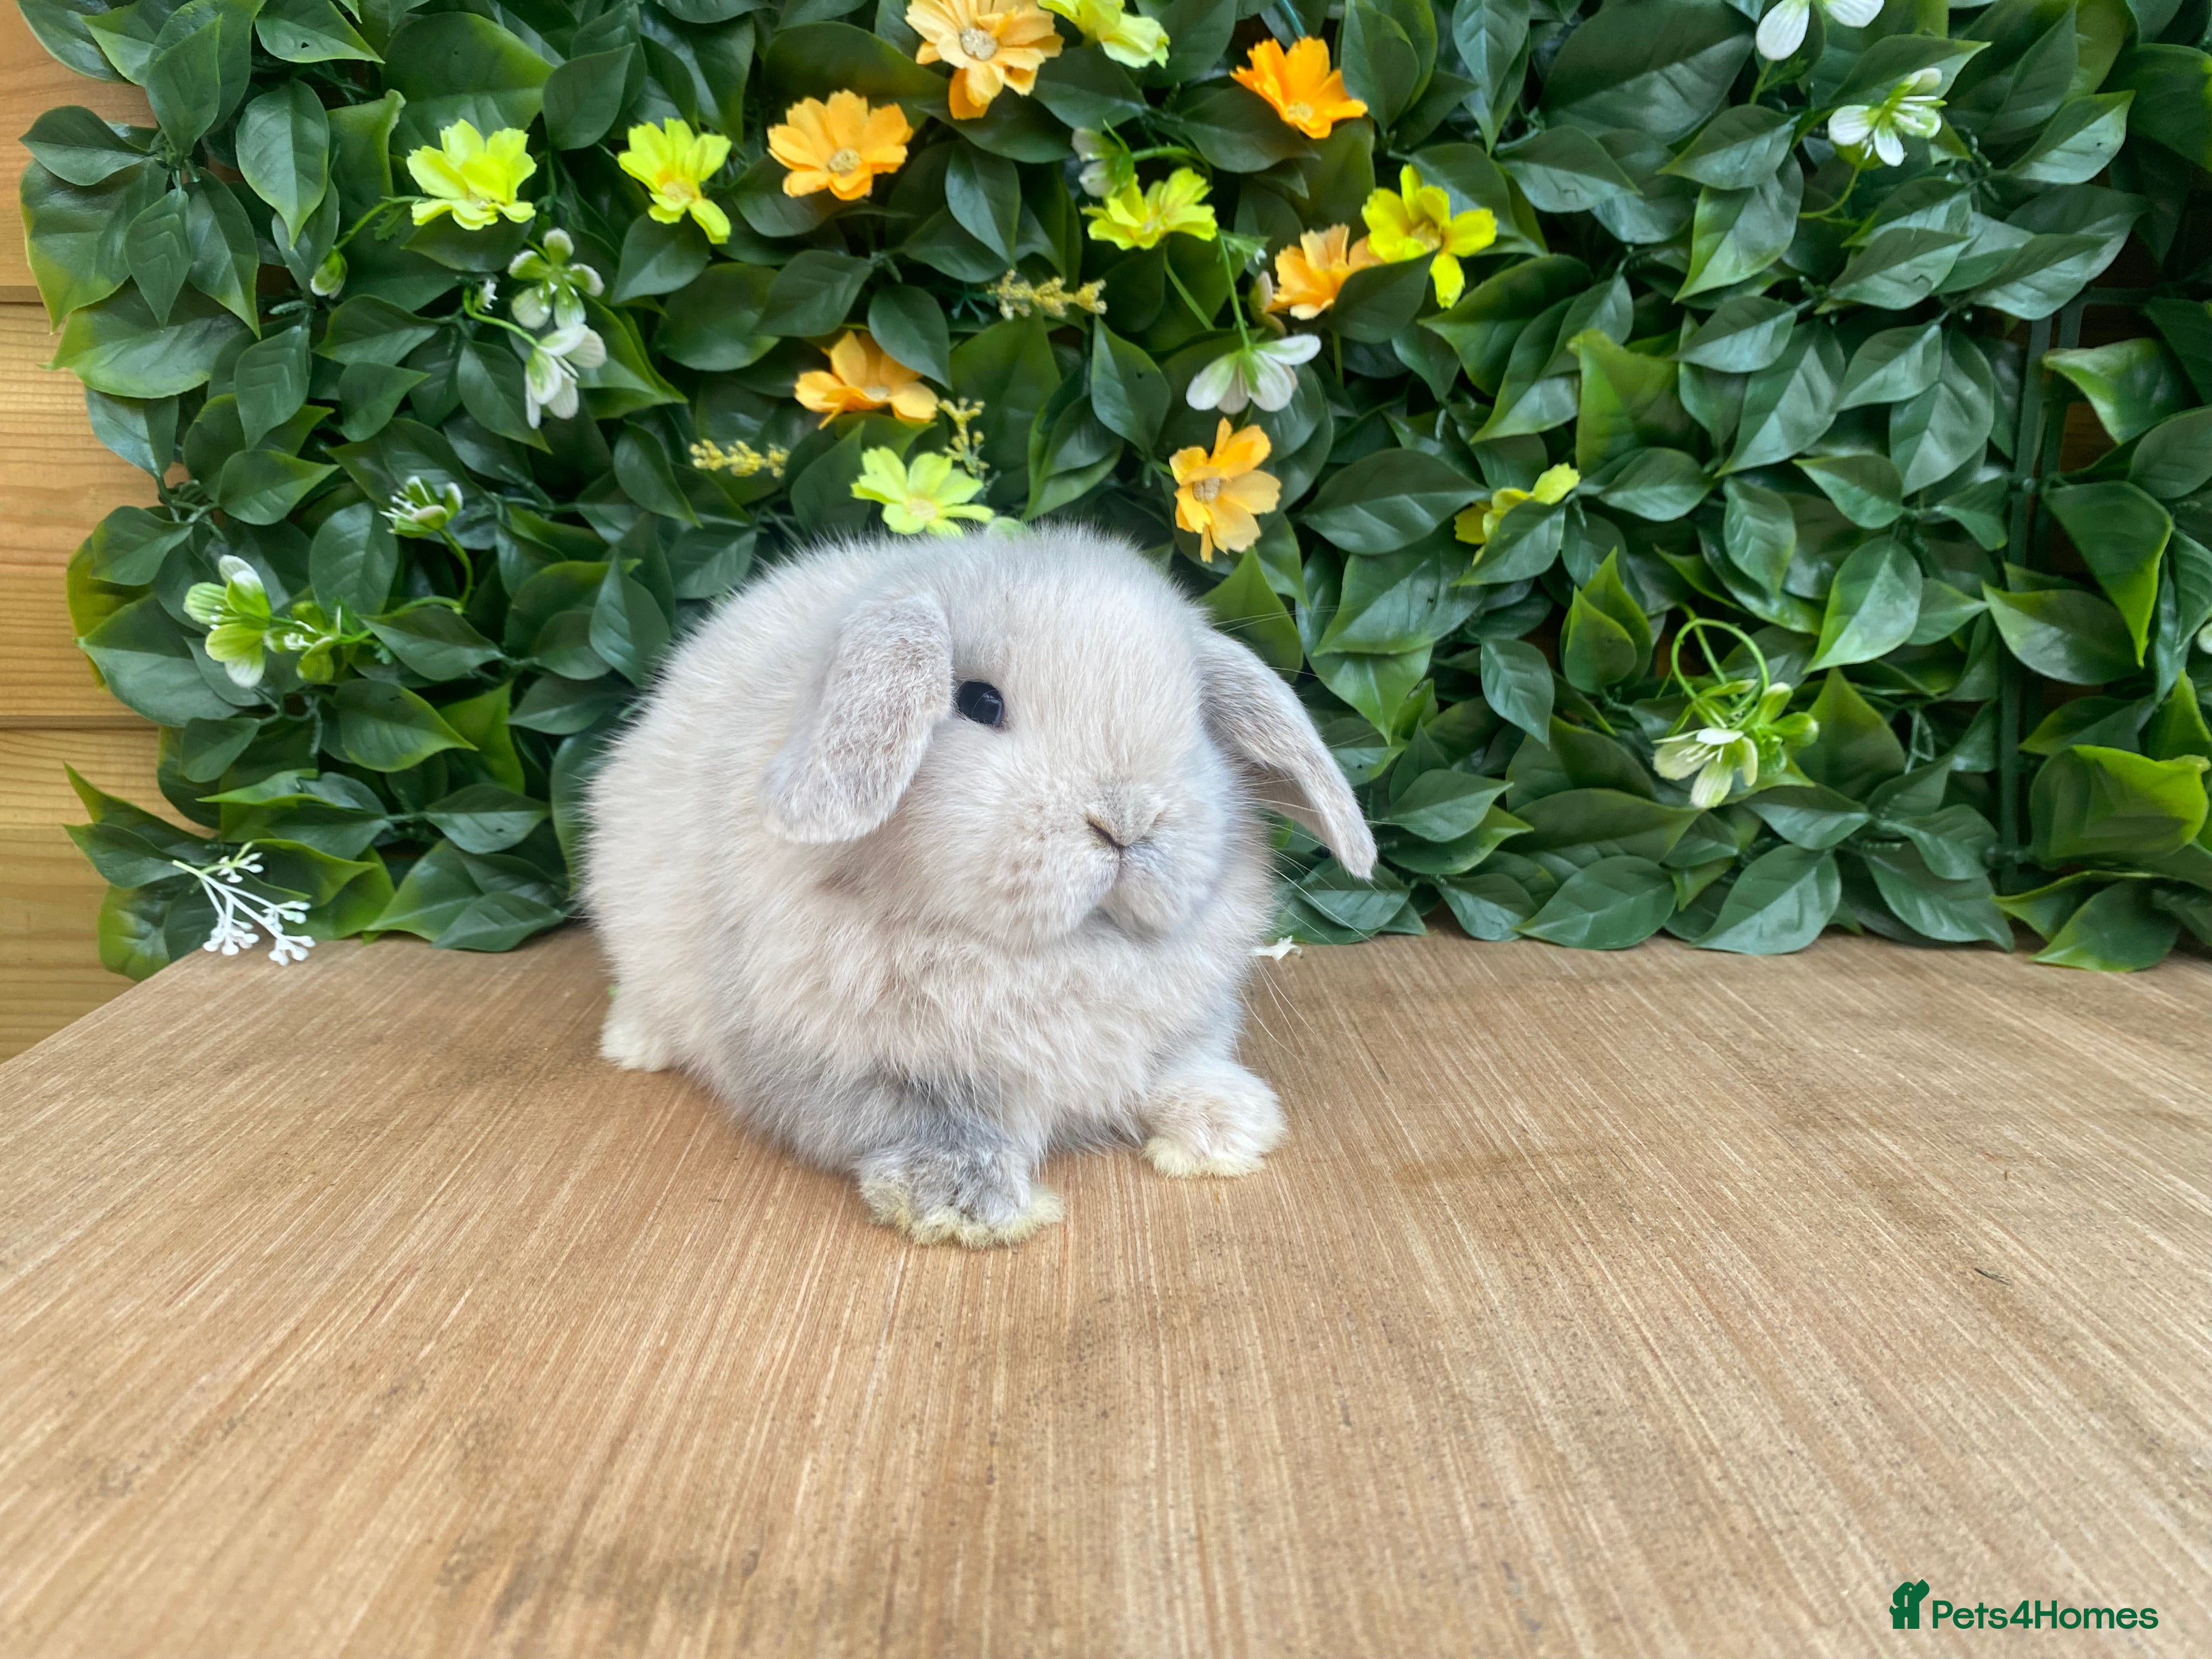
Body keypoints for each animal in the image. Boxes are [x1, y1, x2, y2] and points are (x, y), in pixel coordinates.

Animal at [582, 526, 1375, 1248]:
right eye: (979, 703)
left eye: (1197, 722)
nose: (1127, 821)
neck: (1062, 955)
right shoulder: (829, 1065)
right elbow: (924, 1120)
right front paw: (964, 1203)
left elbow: (1172, 1070)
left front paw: (1229, 1123)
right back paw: (633, 1044)